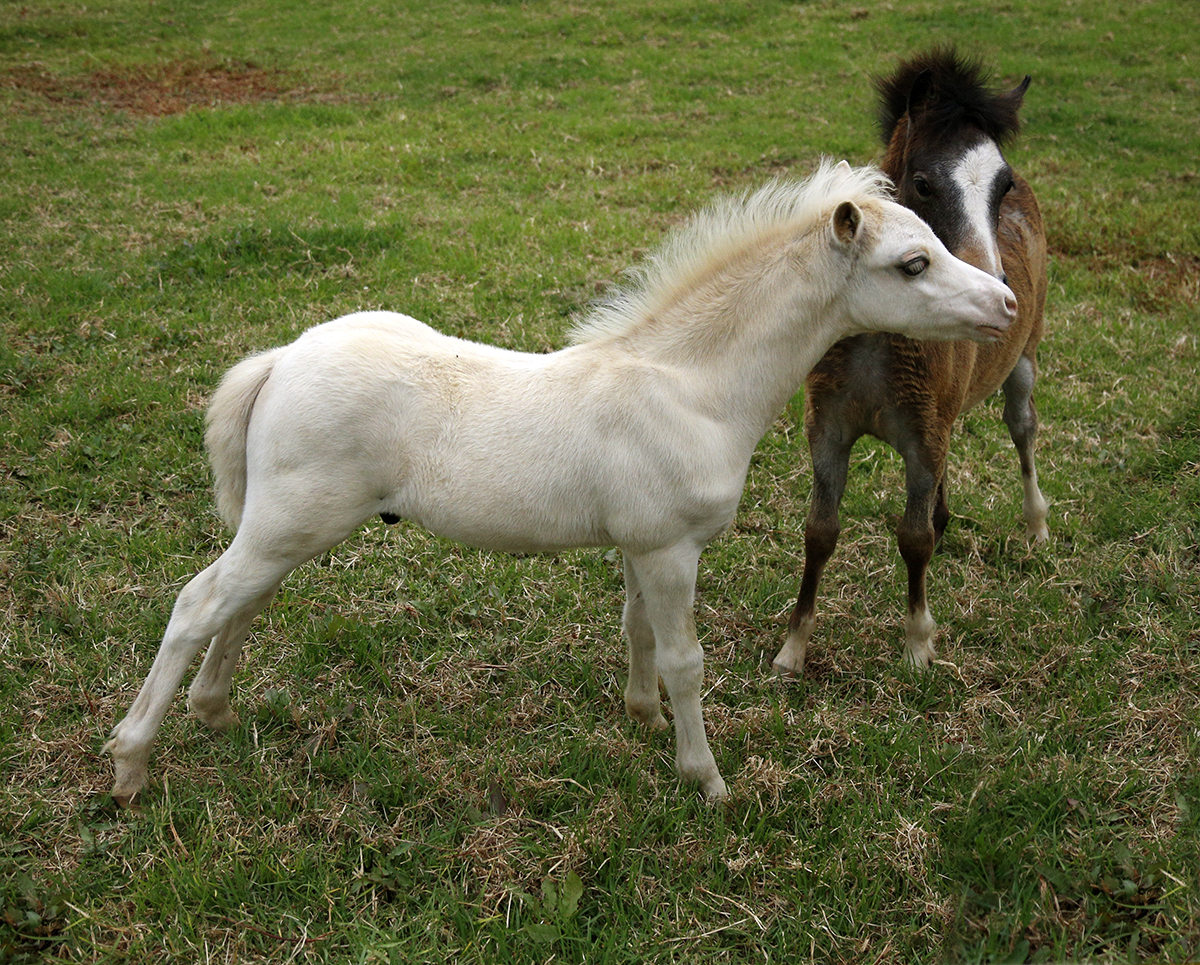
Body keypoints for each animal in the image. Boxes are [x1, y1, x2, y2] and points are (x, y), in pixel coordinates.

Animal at [104, 160, 1016, 806]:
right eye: (912, 263)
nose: (1006, 304)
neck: (690, 385)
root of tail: (282, 357)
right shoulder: (671, 547)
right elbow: (686, 657)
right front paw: (707, 779)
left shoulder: (638, 545)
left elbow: (636, 631)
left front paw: (643, 719)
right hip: (291, 522)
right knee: (198, 602)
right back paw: (130, 764)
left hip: (289, 526)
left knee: (244, 602)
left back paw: (215, 710)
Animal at [771, 50, 1049, 677]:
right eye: (922, 183)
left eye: (1003, 187)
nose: (998, 294)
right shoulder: (829, 429)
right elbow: (819, 531)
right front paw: (793, 648)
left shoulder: (923, 439)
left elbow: (913, 537)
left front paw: (919, 645)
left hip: (1025, 359)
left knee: (1022, 429)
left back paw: (1037, 525)